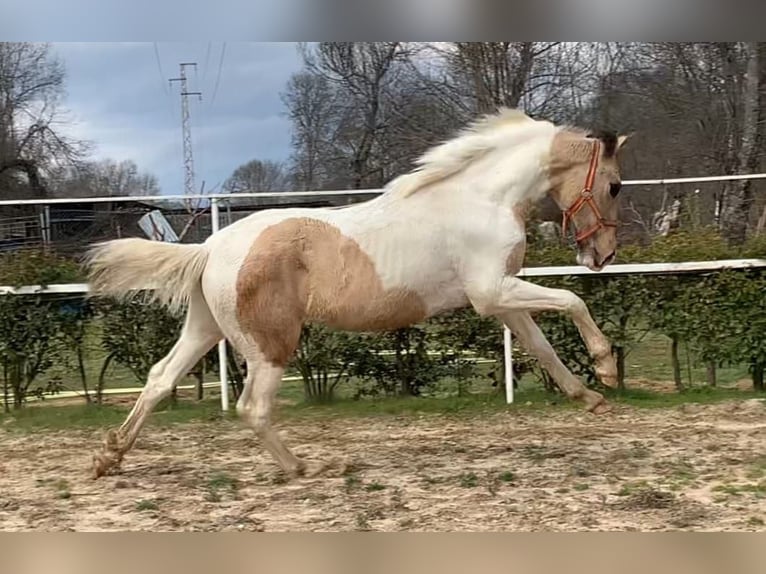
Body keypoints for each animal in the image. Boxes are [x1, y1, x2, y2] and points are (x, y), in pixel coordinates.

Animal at [87, 109, 632, 482]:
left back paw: (109, 456)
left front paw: (590, 399)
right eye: (615, 185)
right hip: (270, 344)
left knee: (160, 379)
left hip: (206, 328)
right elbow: (572, 300)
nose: (603, 254)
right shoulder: (492, 291)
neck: (480, 198)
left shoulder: (501, 300)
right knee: (252, 407)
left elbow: (542, 347)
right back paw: (301, 467)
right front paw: (606, 369)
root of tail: (210, 248)